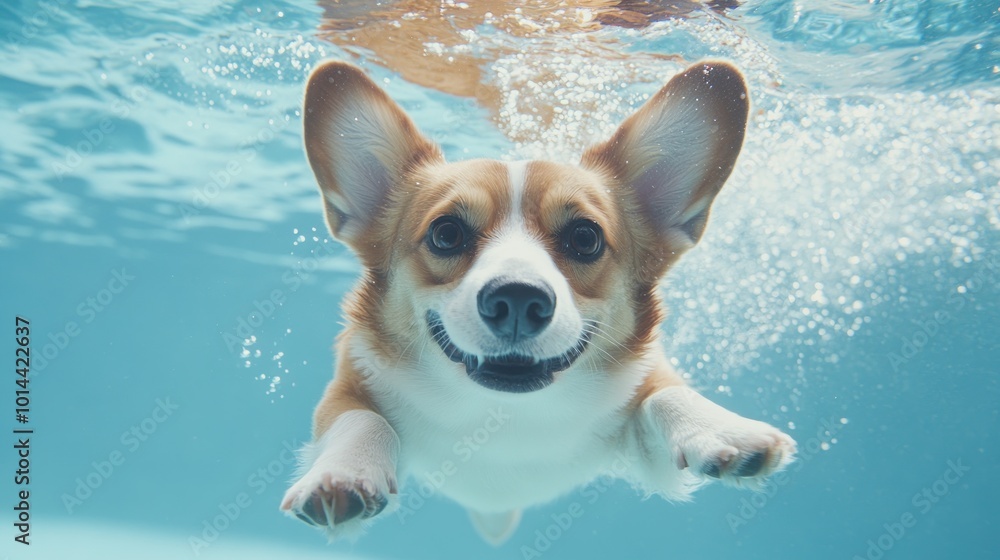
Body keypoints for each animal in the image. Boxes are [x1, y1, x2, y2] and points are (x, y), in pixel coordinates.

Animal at [282, 60, 796, 544]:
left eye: (585, 238)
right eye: (446, 234)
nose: (516, 299)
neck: (505, 416)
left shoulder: (645, 424)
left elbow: (667, 394)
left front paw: (726, 430)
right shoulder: (349, 382)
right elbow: (360, 419)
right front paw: (343, 474)